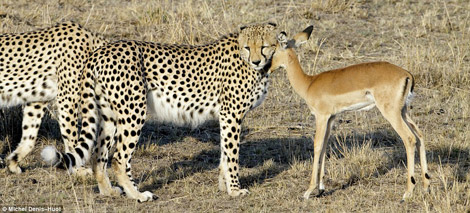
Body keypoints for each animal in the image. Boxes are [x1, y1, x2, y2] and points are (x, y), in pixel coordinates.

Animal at [1, 22, 106, 174]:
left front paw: (13, 162)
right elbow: (72, 136)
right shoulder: (66, 98)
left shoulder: (37, 100)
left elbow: (30, 137)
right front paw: (78, 168)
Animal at [41, 22, 280, 201]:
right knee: (119, 158)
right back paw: (137, 195)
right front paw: (235, 189)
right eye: (248, 47)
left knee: (99, 155)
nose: (256, 60)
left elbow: (224, 153)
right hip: (133, 111)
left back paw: (109, 191)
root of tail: (101, 51)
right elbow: (231, 154)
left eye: (264, 46)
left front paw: (224, 186)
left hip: (109, 115)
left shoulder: (226, 116)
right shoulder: (232, 114)